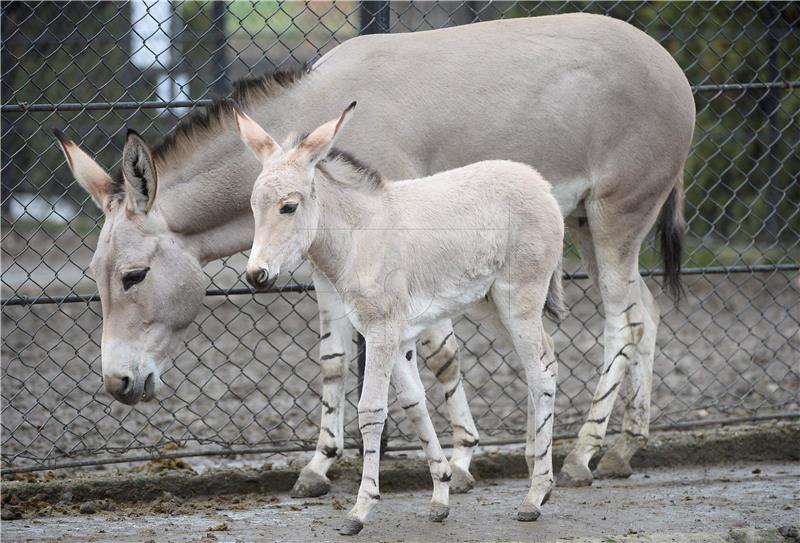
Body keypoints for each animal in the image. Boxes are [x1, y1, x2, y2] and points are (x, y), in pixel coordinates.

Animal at [234, 105, 564, 536]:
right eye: (253, 206)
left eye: (288, 207)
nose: (256, 276)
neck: (359, 238)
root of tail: (540, 183)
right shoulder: (400, 337)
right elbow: (414, 403)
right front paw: (440, 495)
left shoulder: (382, 332)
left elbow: (372, 410)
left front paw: (360, 510)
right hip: (493, 308)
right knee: (544, 362)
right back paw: (539, 478)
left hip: (519, 301)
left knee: (541, 376)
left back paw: (534, 496)